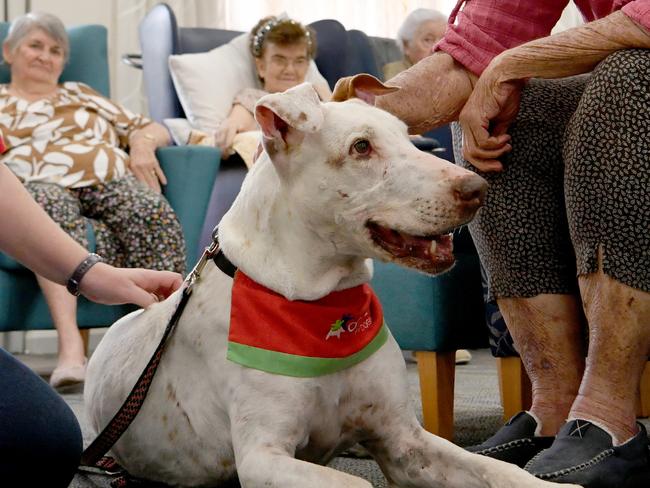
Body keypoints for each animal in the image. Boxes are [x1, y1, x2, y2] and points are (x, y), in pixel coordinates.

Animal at [85, 78, 576, 486]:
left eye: (407, 136)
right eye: (360, 147)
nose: (476, 188)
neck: (320, 304)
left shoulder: (404, 440)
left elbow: (498, 469)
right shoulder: (263, 456)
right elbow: (355, 484)